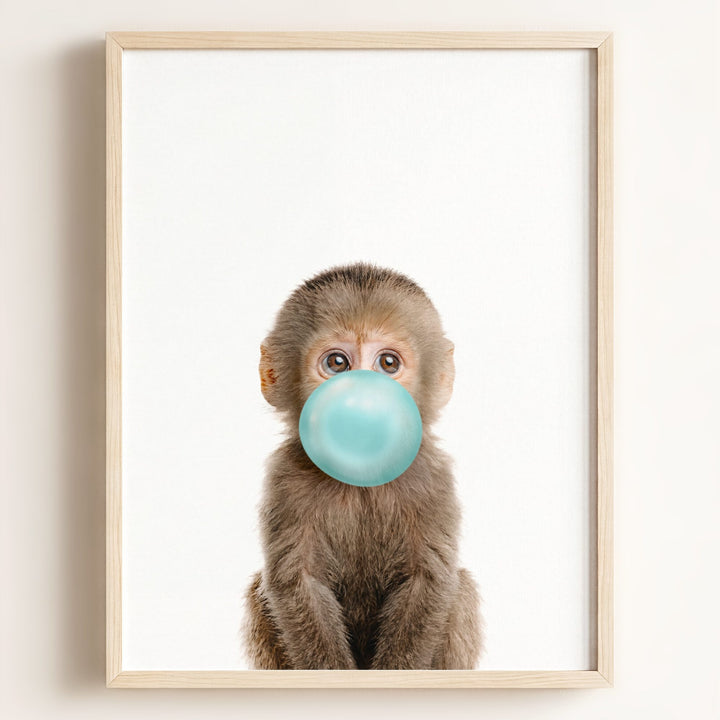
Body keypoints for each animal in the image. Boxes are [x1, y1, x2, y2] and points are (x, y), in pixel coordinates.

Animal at [243, 263, 482, 670]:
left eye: (388, 363)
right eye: (337, 363)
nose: (362, 396)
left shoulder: (432, 476)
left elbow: (428, 579)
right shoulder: (286, 478)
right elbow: (298, 582)